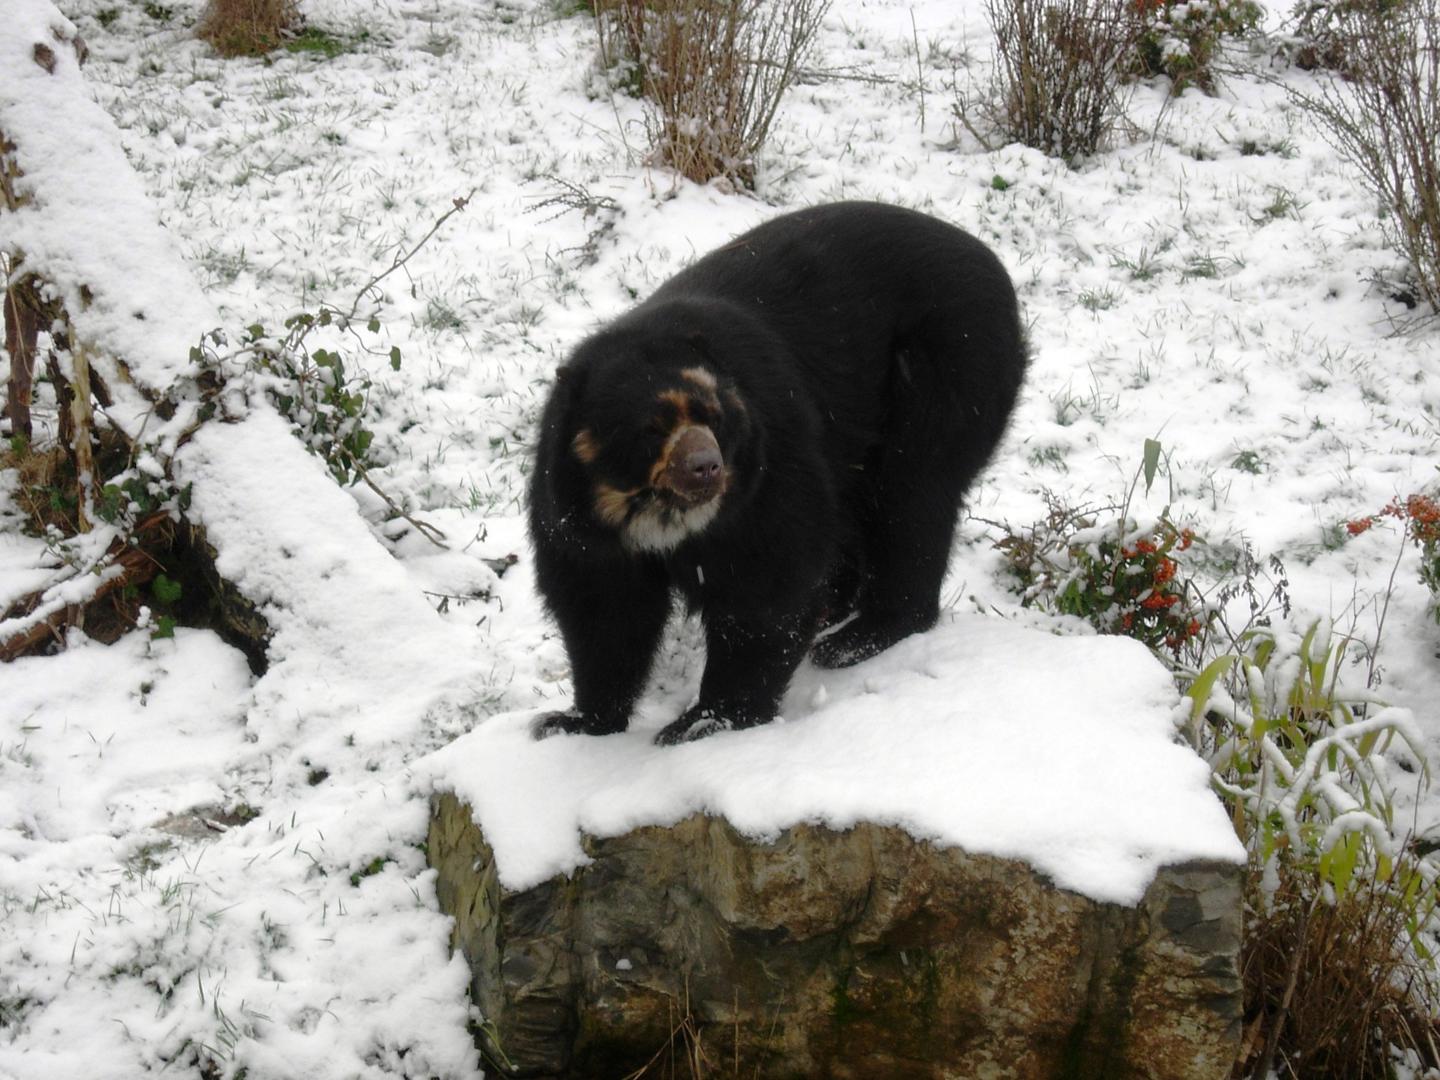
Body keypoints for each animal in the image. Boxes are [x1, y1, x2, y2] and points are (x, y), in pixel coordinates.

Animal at [528, 201, 1027, 745]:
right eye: (651, 429)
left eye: (713, 417)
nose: (707, 468)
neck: (658, 514)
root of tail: (991, 260)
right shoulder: (577, 512)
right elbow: (604, 609)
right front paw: (571, 722)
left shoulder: (766, 472)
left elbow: (766, 584)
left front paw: (703, 722)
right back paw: (837, 611)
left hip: (947, 366)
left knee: (912, 499)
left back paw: (857, 637)